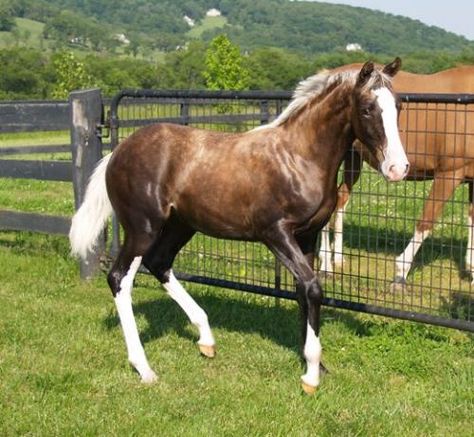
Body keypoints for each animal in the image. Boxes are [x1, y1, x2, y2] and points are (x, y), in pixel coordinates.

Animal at [69, 58, 408, 392]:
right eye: (367, 108)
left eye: (398, 106)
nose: (398, 168)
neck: (298, 158)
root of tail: (117, 152)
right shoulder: (276, 233)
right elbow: (312, 288)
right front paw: (311, 376)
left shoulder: (308, 236)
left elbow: (304, 290)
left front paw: (315, 365)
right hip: (143, 228)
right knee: (119, 278)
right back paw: (145, 368)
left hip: (181, 226)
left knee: (159, 263)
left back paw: (206, 338)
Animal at [320, 64, 474, 282]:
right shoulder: (449, 174)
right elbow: (426, 221)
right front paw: (401, 271)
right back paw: (325, 266)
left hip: (353, 159)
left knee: (341, 199)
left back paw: (338, 258)